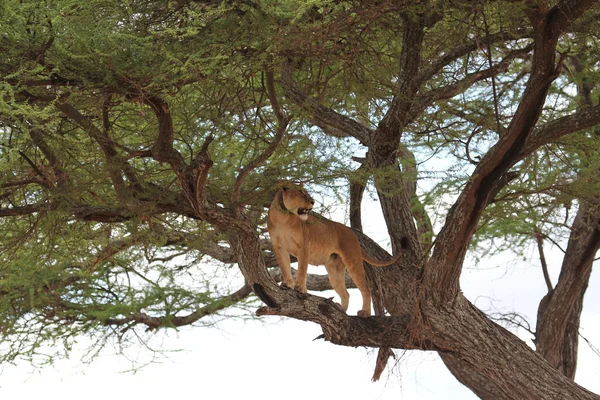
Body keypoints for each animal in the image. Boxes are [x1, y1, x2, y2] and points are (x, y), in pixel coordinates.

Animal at [268, 183, 404, 318]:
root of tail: (352, 233)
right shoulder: (279, 248)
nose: (313, 202)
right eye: (301, 192)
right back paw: (340, 309)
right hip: (335, 270)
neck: (283, 217)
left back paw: (365, 312)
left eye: (305, 192)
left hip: (353, 261)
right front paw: (288, 284)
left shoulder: (304, 247)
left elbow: (302, 270)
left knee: (366, 289)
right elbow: (284, 267)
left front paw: (300, 288)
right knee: (345, 293)